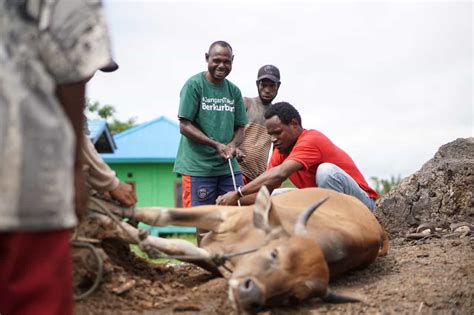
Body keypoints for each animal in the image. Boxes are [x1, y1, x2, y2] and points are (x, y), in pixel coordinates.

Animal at [90, 188, 386, 314]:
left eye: (292, 297)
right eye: (274, 253)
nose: (250, 296)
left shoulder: (216, 259)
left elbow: (175, 245)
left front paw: (112, 225)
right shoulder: (222, 213)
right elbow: (159, 215)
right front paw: (105, 210)